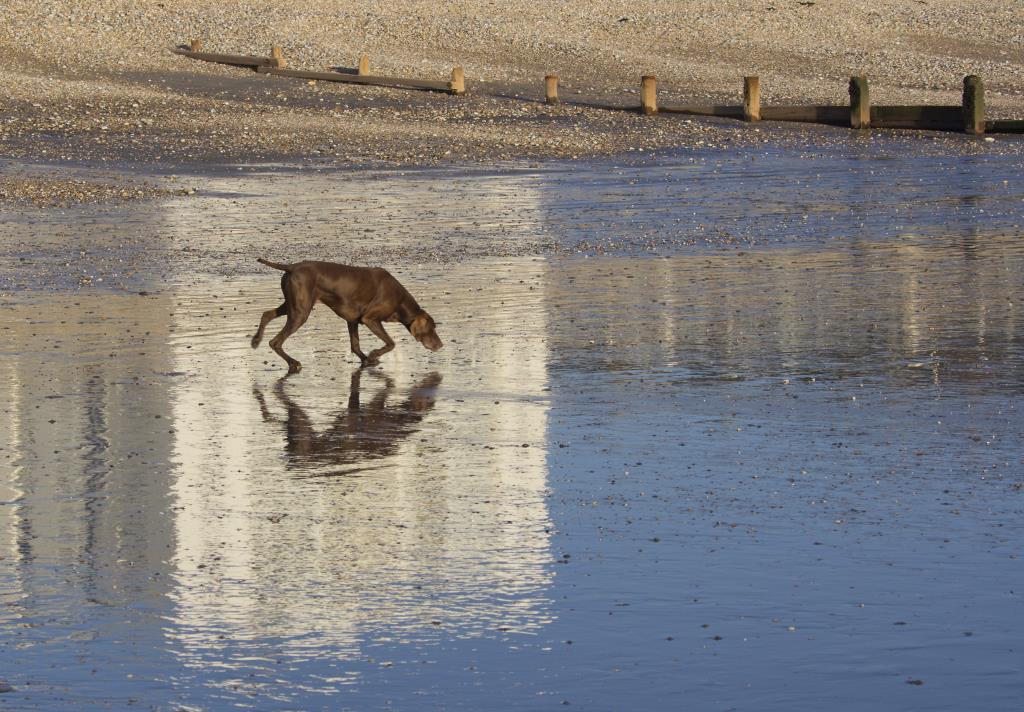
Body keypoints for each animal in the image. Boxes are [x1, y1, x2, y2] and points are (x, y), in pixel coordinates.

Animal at [250, 259, 440, 377]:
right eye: (432, 328)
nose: (440, 345)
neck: (399, 300)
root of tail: (292, 267)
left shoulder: (352, 320)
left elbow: (355, 346)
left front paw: (368, 359)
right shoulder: (370, 319)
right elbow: (391, 343)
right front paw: (373, 355)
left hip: (292, 306)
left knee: (266, 314)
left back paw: (256, 340)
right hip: (300, 313)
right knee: (275, 342)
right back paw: (293, 362)